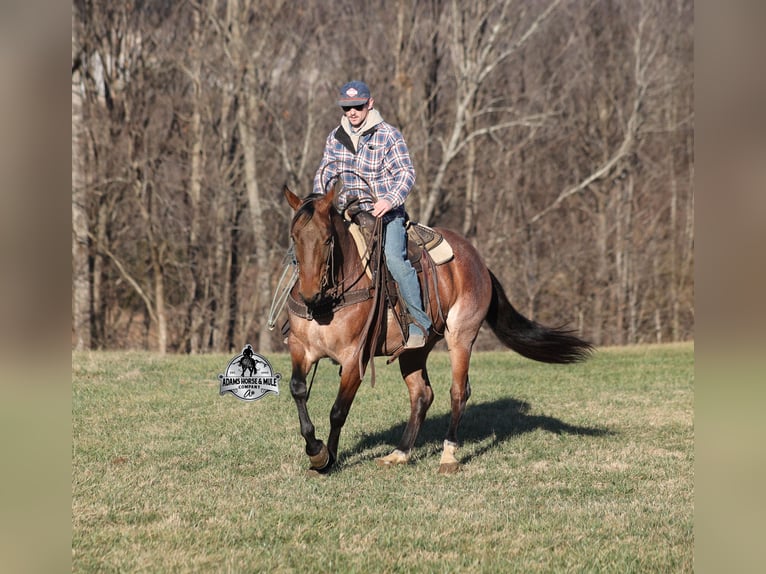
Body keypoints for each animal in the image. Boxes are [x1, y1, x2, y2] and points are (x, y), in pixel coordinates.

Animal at [283, 185, 592, 475]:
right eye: (294, 238)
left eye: (327, 239)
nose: (309, 294)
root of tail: (479, 263)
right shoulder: (301, 349)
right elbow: (297, 389)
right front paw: (316, 450)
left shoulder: (353, 359)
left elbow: (338, 411)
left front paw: (327, 458)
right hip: (413, 350)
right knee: (422, 395)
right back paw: (400, 453)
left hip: (461, 337)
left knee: (458, 392)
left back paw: (448, 456)